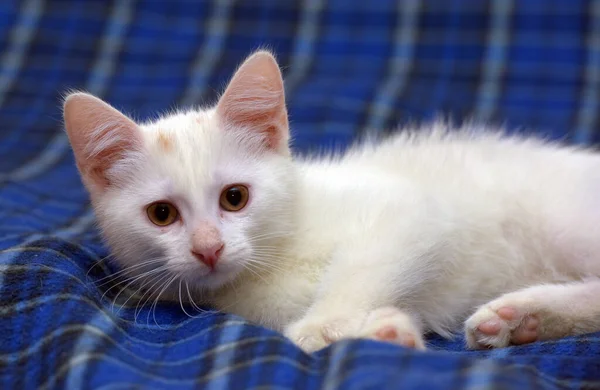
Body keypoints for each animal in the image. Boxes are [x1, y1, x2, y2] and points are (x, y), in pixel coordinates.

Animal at [63, 50, 600, 352]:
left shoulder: (410, 209)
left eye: (235, 198)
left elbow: (364, 268)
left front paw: (322, 326)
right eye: (162, 214)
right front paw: (390, 331)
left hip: (564, 222)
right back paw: (521, 320)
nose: (208, 248)